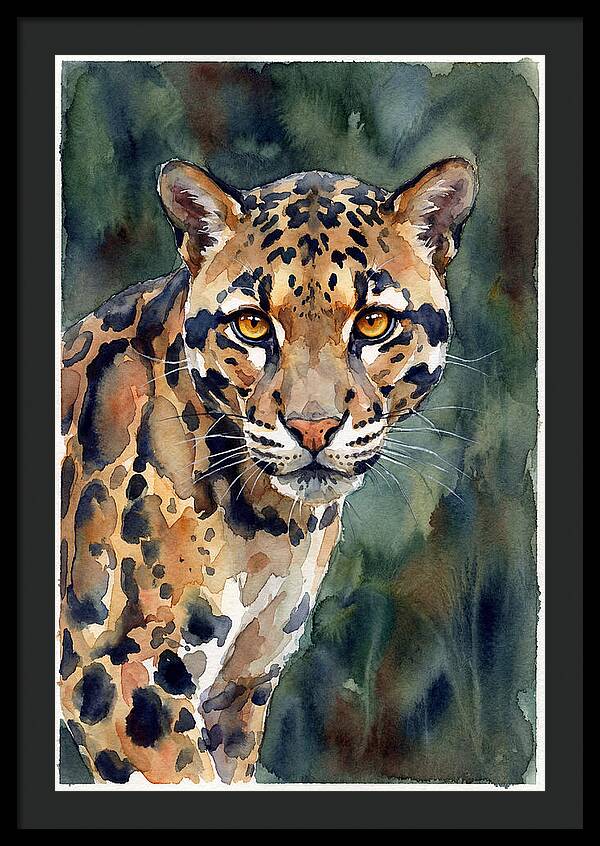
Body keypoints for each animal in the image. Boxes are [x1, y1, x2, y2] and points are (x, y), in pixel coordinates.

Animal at [59, 156, 477, 785]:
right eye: (253, 325)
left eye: (374, 323)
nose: (313, 427)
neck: (269, 526)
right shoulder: (116, 675)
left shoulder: (240, 688)